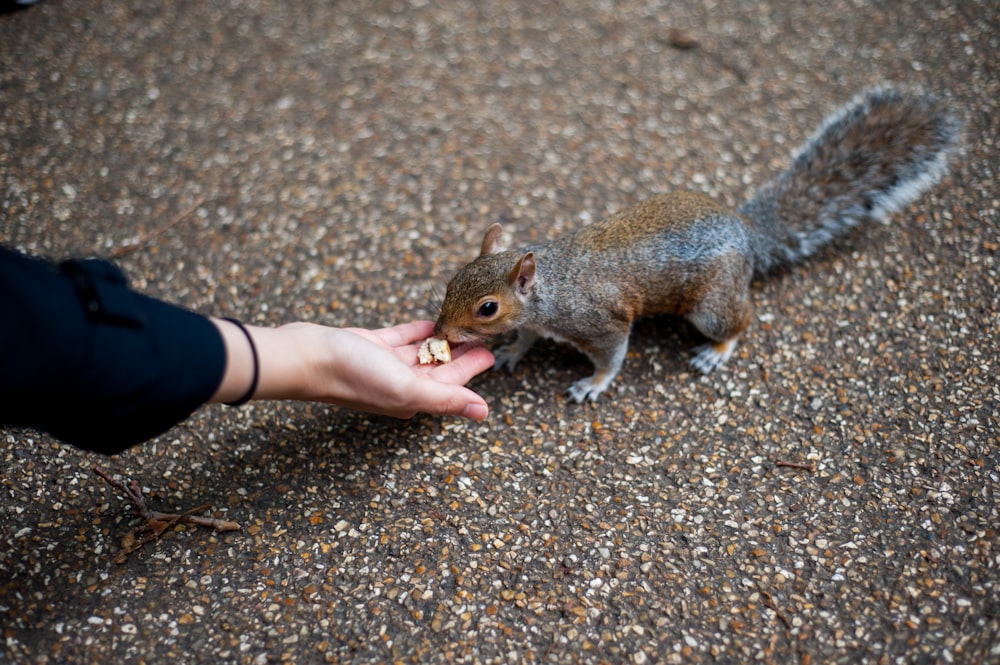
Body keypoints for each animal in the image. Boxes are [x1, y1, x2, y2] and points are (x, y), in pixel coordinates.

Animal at [430, 85, 960, 402]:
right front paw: (511, 353)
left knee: (739, 321)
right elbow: (528, 337)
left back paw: (717, 351)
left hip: (711, 304)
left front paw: (593, 384)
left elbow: (612, 356)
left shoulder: (602, 321)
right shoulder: (541, 322)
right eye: (451, 281)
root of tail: (746, 231)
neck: (549, 290)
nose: (441, 333)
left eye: (487, 308)